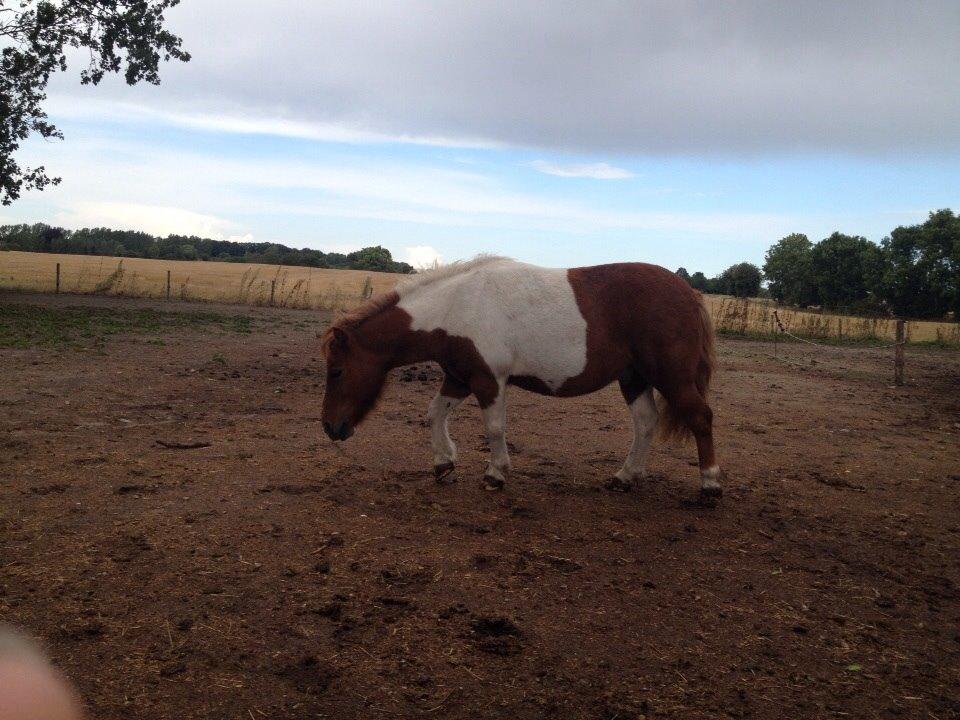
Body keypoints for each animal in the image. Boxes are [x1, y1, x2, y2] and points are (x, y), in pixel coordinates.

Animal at [320, 256, 720, 498]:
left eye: (337, 371)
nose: (330, 427)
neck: (456, 306)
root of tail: (689, 293)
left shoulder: (488, 381)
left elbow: (495, 429)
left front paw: (495, 474)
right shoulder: (460, 378)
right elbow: (434, 415)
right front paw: (443, 463)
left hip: (671, 377)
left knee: (700, 418)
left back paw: (710, 485)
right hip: (634, 378)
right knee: (646, 422)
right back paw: (625, 477)